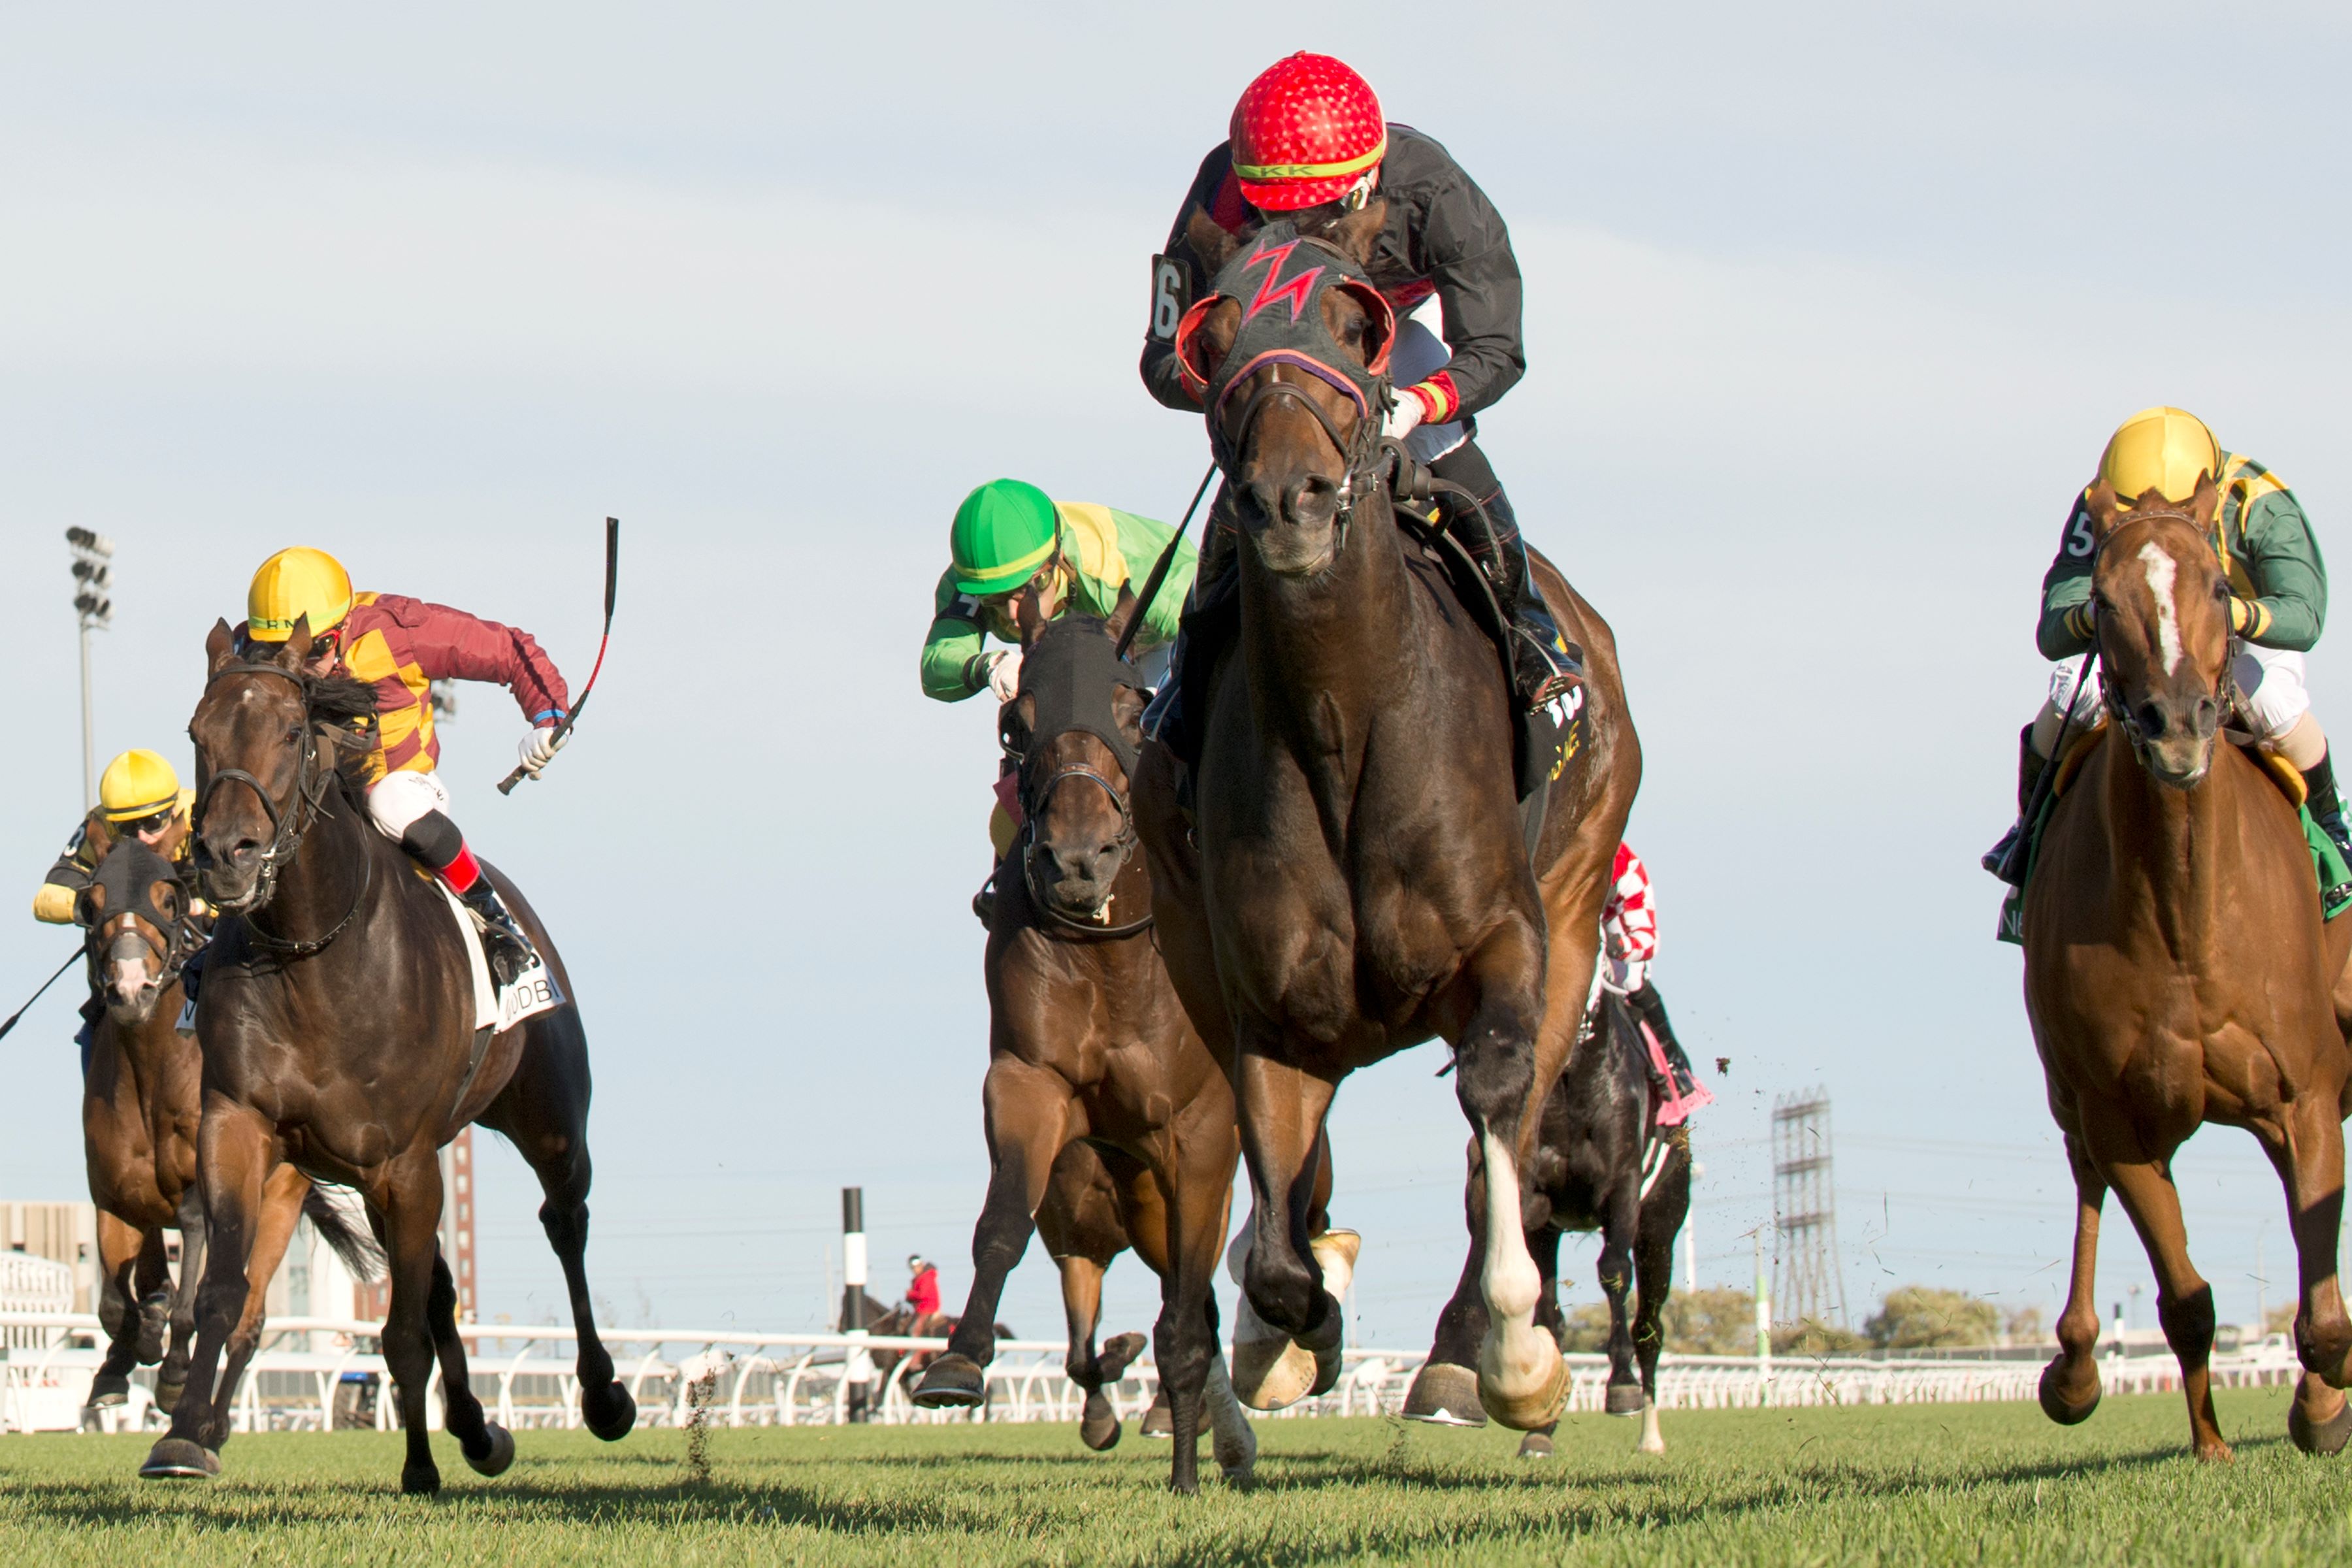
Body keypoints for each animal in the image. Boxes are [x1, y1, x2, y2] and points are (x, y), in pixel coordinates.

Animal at [152, 615, 640, 1495]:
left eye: (291, 730)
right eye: (198, 734)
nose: (227, 854)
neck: (315, 952)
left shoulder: (406, 1159)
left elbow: (404, 1331)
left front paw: (418, 1466)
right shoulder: (240, 1122)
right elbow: (224, 1289)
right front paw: (182, 1435)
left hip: (547, 1119)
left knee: (564, 1221)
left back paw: (601, 1395)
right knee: (441, 1280)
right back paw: (477, 1429)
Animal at [907, 611, 1260, 1495]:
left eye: (1135, 715)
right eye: (1015, 726)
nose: (1076, 862)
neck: (1115, 955)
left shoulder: (1201, 1133)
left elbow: (1185, 1322)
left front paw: (1186, 1475)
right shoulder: (1030, 1083)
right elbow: (1002, 1223)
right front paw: (957, 1364)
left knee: (1195, 1299)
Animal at [1134, 205, 1637, 1439]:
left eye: (1358, 327)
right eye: (1215, 333)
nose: (1293, 499)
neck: (1346, 717)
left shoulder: (1507, 938)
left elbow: (1498, 1102)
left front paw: (1512, 1357)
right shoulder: (1267, 1006)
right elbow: (1276, 1238)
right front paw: (1289, 1330)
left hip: (1576, 906)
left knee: (1513, 1120)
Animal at [2023, 480, 2352, 1457]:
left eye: (2215, 585)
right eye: (2105, 601)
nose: (2176, 727)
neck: (2184, 916)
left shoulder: (2306, 1096)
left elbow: (2324, 1315)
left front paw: (2321, 1407)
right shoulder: (2120, 1115)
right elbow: (2188, 1299)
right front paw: (2213, 1446)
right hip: (2074, 1098)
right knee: (2086, 1181)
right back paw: (2075, 1369)